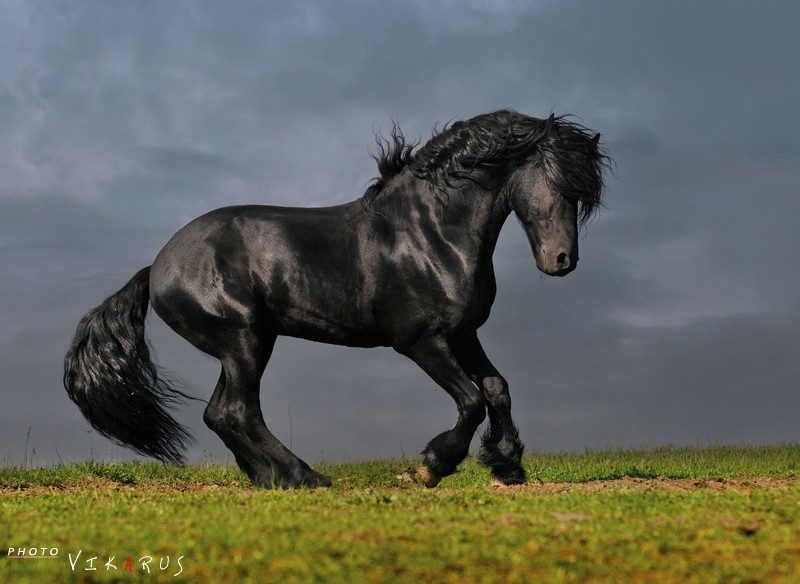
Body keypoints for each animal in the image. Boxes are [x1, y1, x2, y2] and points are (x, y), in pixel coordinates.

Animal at [65, 109, 608, 488]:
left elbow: (497, 388)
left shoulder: (463, 333)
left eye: (583, 194)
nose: (562, 260)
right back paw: (303, 477)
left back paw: (269, 478)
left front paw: (508, 466)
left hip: (238, 348)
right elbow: (472, 400)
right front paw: (431, 467)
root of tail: (157, 267)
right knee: (236, 412)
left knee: (220, 413)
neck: (432, 233)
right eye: (557, 183)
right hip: (245, 342)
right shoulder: (420, 340)